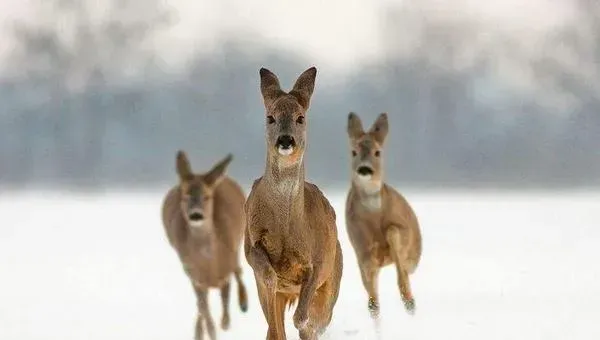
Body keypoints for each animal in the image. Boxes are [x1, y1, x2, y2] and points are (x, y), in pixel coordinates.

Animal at [161, 151, 247, 340]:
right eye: (185, 196)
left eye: (207, 197)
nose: (196, 215)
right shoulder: (194, 276)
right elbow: (204, 309)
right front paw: (208, 331)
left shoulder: (225, 270)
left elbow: (225, 300)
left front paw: (225, 323)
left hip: (238, 241)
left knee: (239, 270)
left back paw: (244, 303)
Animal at [244, 67, 344, 340]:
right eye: (270, 117)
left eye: (301, 118)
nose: (286, 140)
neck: (287, 227)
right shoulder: (250, 242)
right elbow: (267, 275)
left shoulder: (318, 261)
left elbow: (303, 315)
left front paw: (305, 322)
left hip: (334, 274)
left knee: (320, 316)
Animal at [342, 111, 422, 318]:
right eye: (353, 152)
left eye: (377, 152)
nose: (364, 169)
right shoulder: (360, 248)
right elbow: (372, 296)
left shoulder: (403, 230)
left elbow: (393, 232)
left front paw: (408, 299)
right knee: (373, 301)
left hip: (414, 257)